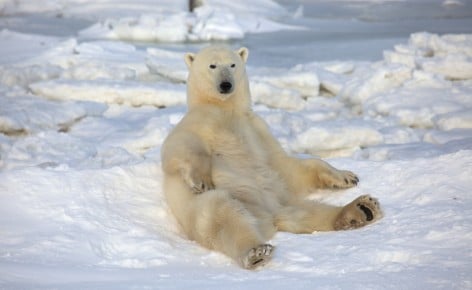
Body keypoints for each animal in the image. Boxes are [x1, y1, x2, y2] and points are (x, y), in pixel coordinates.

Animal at [160, 45, 382, 270]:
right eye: (212, 65)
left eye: (232, 64)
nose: (225, 85)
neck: (225, 109)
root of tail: (270, 218)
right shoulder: (200, 121)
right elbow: (179, 146)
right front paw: (201, 180)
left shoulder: (257, 129)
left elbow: (284, 166)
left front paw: (347, 176)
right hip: (217, 206)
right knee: (221, 214)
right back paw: (255, 251)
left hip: (285, 201)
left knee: (311, 211)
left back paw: (362, 208)